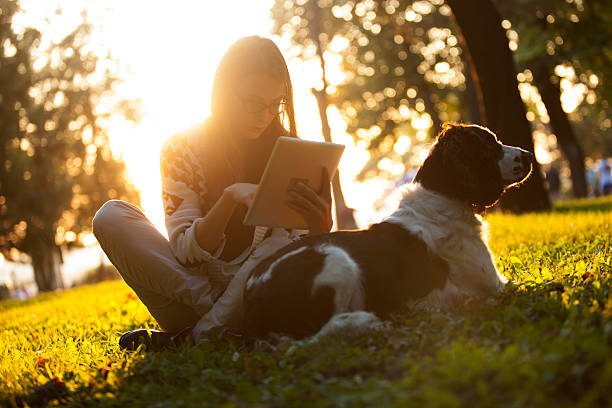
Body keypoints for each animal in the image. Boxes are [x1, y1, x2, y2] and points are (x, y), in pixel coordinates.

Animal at [241, 122, 532, 340]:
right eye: (489, 144)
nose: (529, 154)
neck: (441, 199)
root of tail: (251, 296)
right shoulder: (494, 285)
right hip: (335, 258)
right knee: (310, 335)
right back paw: (368, 321)